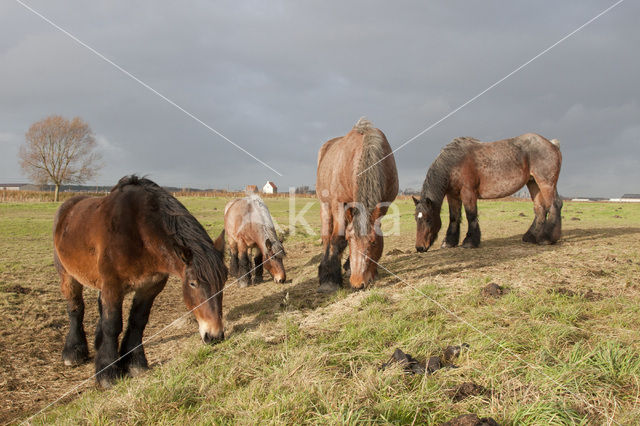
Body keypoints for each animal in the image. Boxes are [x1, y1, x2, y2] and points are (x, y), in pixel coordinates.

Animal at [53, 175, 228, 388]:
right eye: (193, 283)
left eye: (224, 282)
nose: (215, 335)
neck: (139, 232)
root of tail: (67, 207)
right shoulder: (113, 286)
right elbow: (112, 324)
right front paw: (107, 373)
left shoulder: (150, 287)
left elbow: (138, 321)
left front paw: (135, 363)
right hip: (67, 275)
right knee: (75, 309)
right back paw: (73, 352)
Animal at [316, 118, 398, 292]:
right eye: (349, 238)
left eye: (373, 242)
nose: (357, 283)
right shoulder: (339, 203)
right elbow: (337, 238)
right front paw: (330, 281)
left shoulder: (384, 205)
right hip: (325, 205)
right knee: (327, 236)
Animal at [416, 133, 560, 251]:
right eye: (416, 219)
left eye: (428, 219)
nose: (419, 248)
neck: (454, 162)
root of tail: (552, 143)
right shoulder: (453, 196)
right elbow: (454, 217)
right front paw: (449, 242)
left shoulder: (468, 193)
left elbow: (471, 215)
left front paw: (470, 241)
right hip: (533, 183)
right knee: (540, 208)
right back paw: (530, 237)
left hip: (545, 183)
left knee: (553, 205)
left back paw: (546, 238)